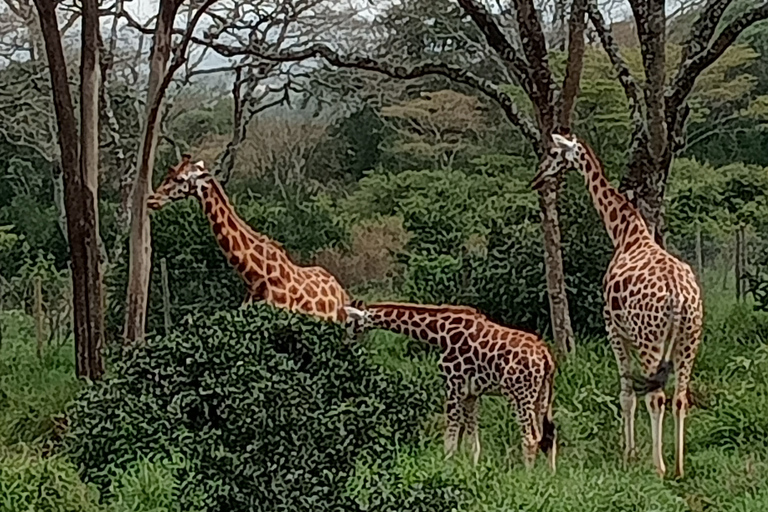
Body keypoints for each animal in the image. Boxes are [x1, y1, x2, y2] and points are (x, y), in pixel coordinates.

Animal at [344, 300, 556, 472]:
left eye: (348, 322)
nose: (346, 342)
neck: (439, 332)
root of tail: (545, 356)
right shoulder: (471, 394)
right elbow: (472, 442)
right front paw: (472, 471)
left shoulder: (453, 386)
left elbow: (450, 440)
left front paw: (446, 470)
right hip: (542, 396)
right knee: (549, 435)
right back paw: (549, 476)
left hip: (519, 394)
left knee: (531, 438)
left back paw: (527, 477)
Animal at [536, 132, 704, 476]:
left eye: (554, 153)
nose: (538, 177)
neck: (625, 233)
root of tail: (679, 294)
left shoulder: (613, 328)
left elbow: (626, 394)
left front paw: (629, 454)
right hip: (689, 338)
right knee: (680, 396)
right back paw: (679, 467)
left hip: (650, 339)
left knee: (656, 397)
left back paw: (659, 467)